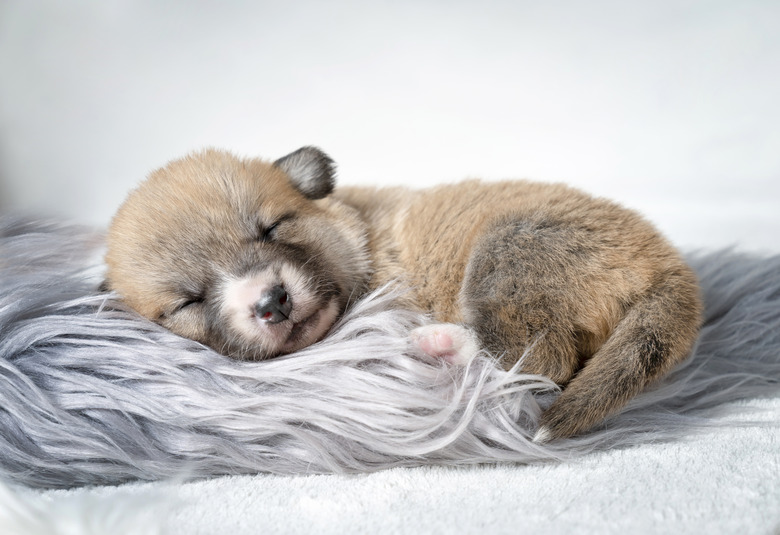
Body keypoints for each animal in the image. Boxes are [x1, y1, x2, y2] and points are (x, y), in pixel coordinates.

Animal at [103, 147, 700, 440]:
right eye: (187, 301)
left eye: (271, 228)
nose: (272, 303)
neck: (359, 230)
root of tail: (668, 268)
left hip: (508, 251)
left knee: (536, 359)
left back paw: (437, 345)